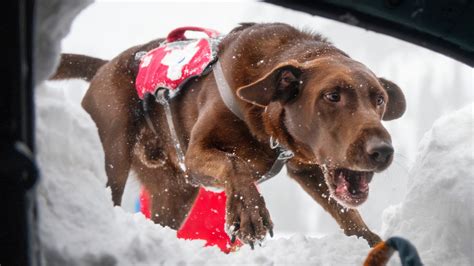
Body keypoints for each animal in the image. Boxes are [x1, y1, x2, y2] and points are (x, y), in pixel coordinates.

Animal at [52, 22, 408, 247]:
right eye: (332, 96)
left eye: (379, 99)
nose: (383, 151)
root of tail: (104, 66)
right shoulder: (196, 155)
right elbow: (234, 165)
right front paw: (249, 215)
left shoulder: (306, 169)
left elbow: (348, 213)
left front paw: (372, 243)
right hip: (112, 155)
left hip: (175, 192)